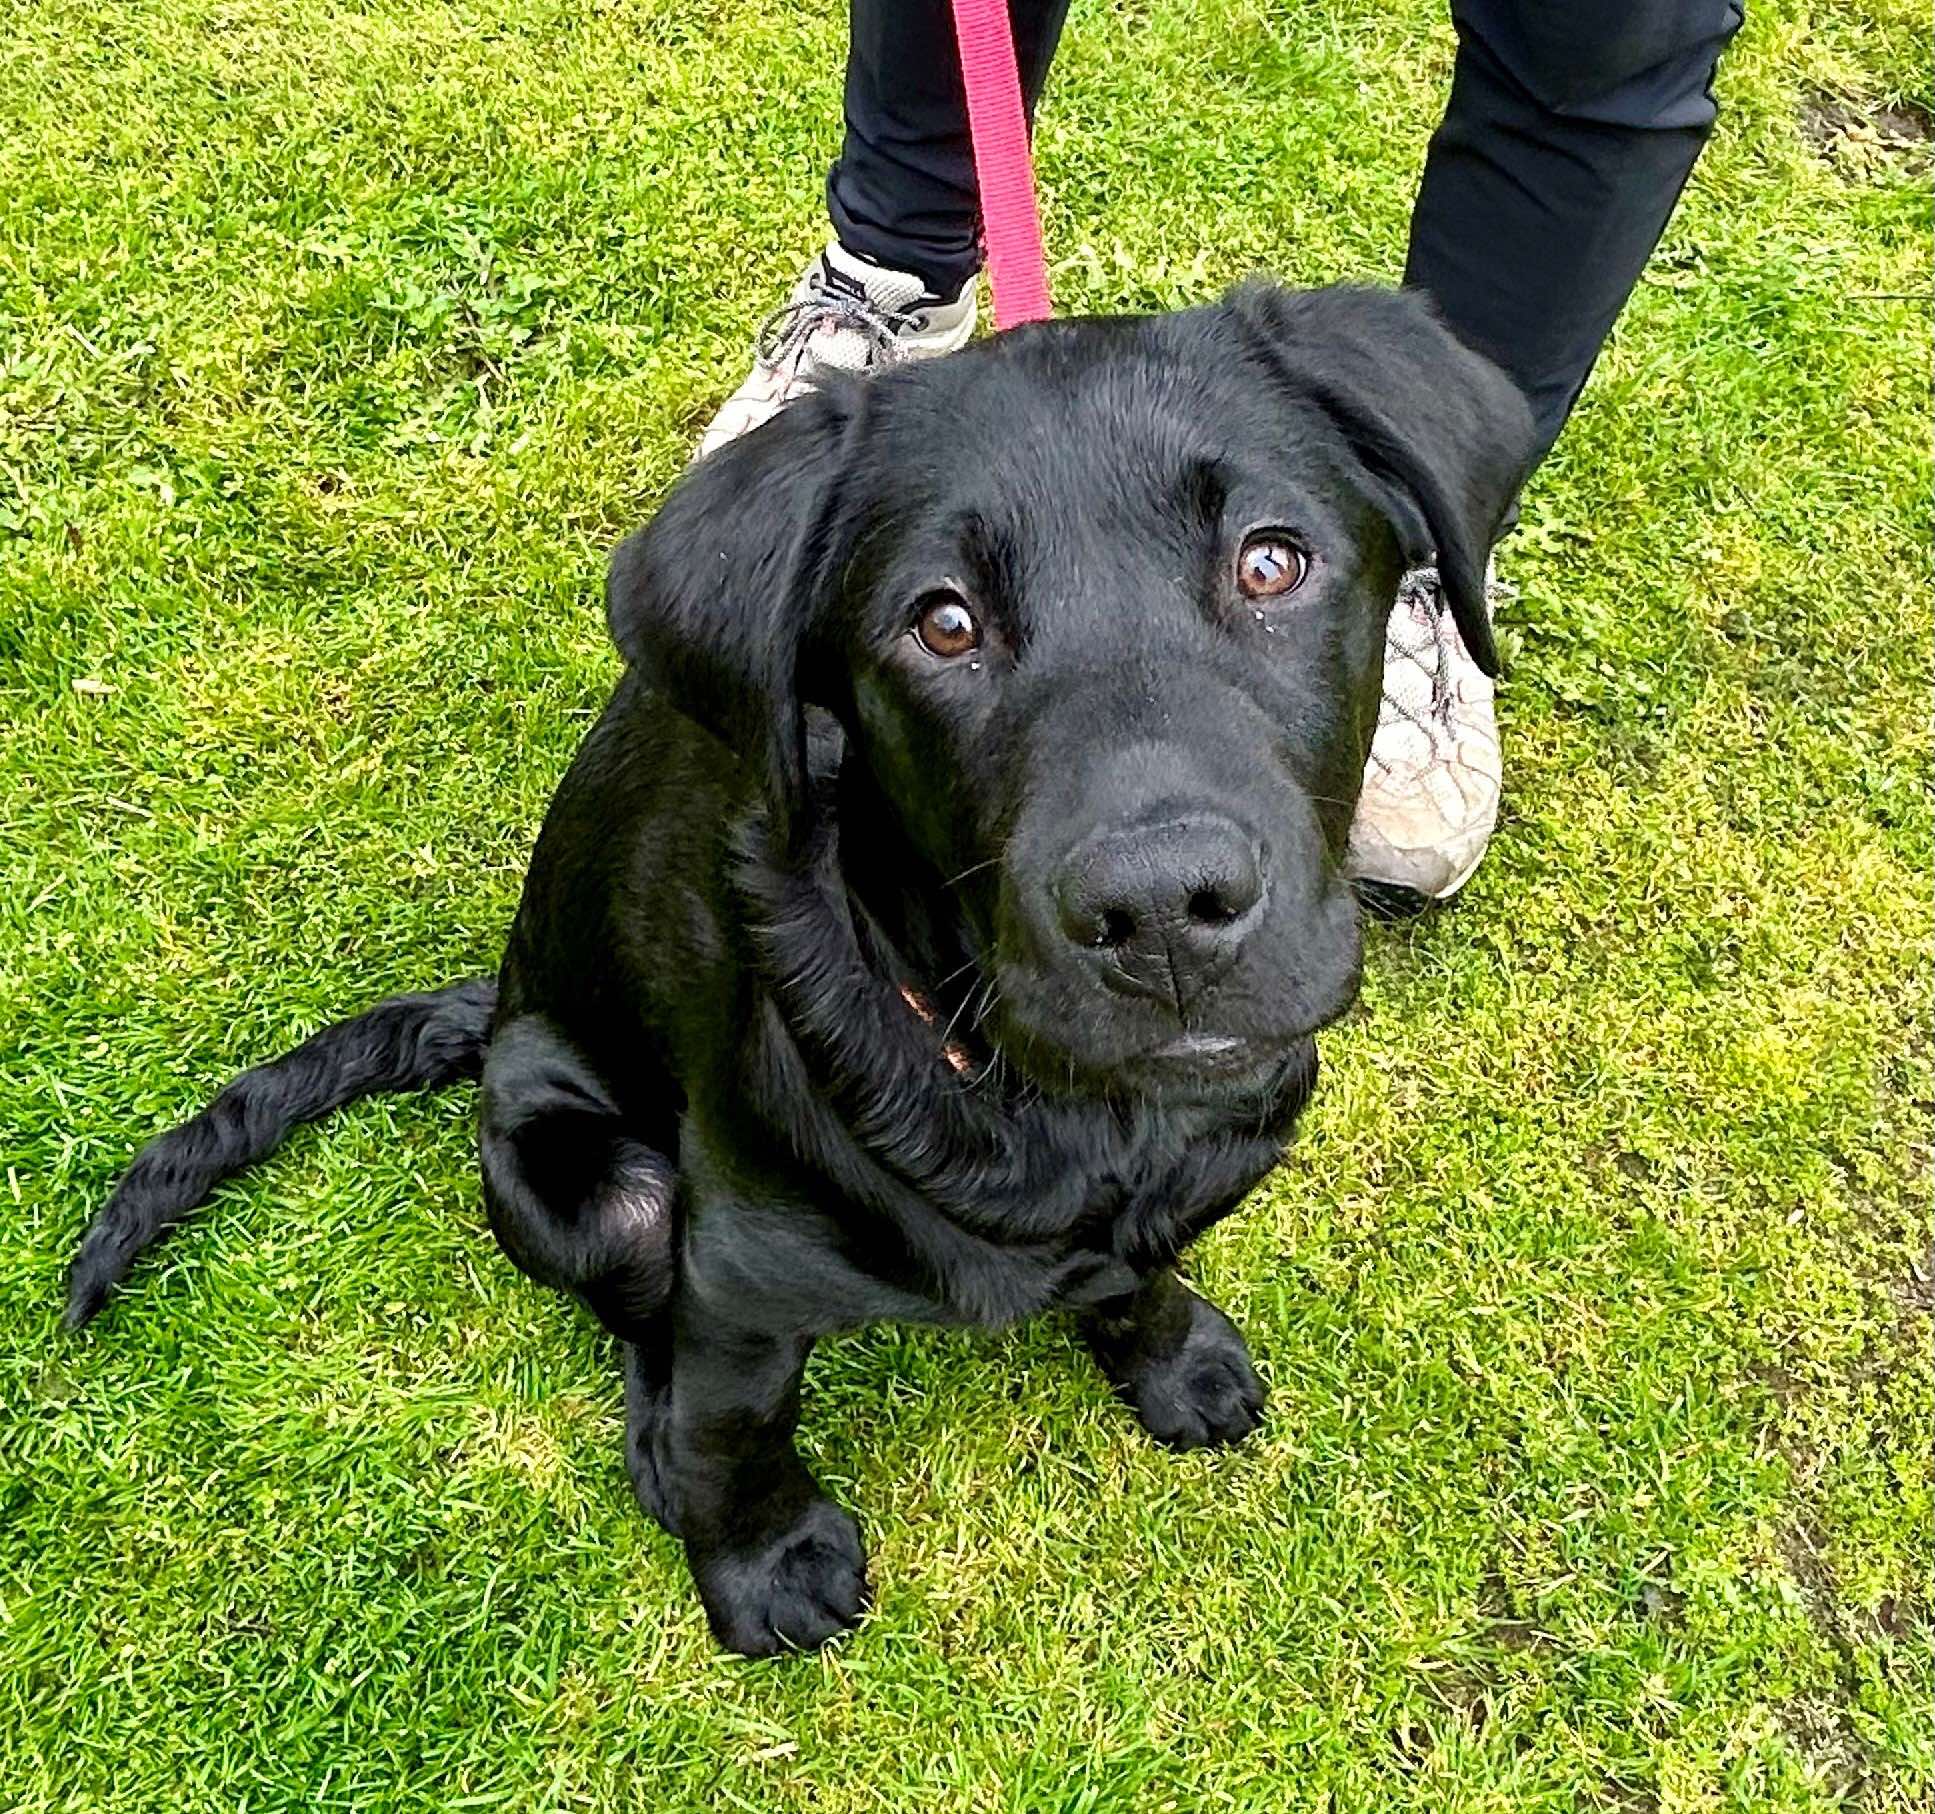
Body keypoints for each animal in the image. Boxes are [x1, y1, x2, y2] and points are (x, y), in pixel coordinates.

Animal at [68, 282, 1532, 1657]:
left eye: (1272, 561)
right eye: (941, 625)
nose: (1163, 910)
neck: (1047, 1101)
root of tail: (502, 1004)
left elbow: (1141, 1264)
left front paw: (1170, 1358)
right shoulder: (734, 1274)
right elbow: (734, 1430)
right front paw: (759, 1563)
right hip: (605, 1188)